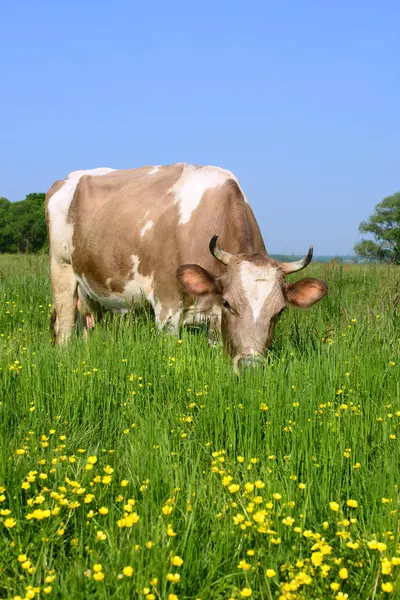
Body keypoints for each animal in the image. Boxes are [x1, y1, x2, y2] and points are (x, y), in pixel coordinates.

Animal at [46, 164, 328, 370]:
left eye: (279, 312)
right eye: (229, 303)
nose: (251, 366)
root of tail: (65, 180)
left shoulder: (214, 317)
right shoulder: (166, 304)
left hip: (93, 290)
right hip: (61, 268)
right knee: (64, 326)